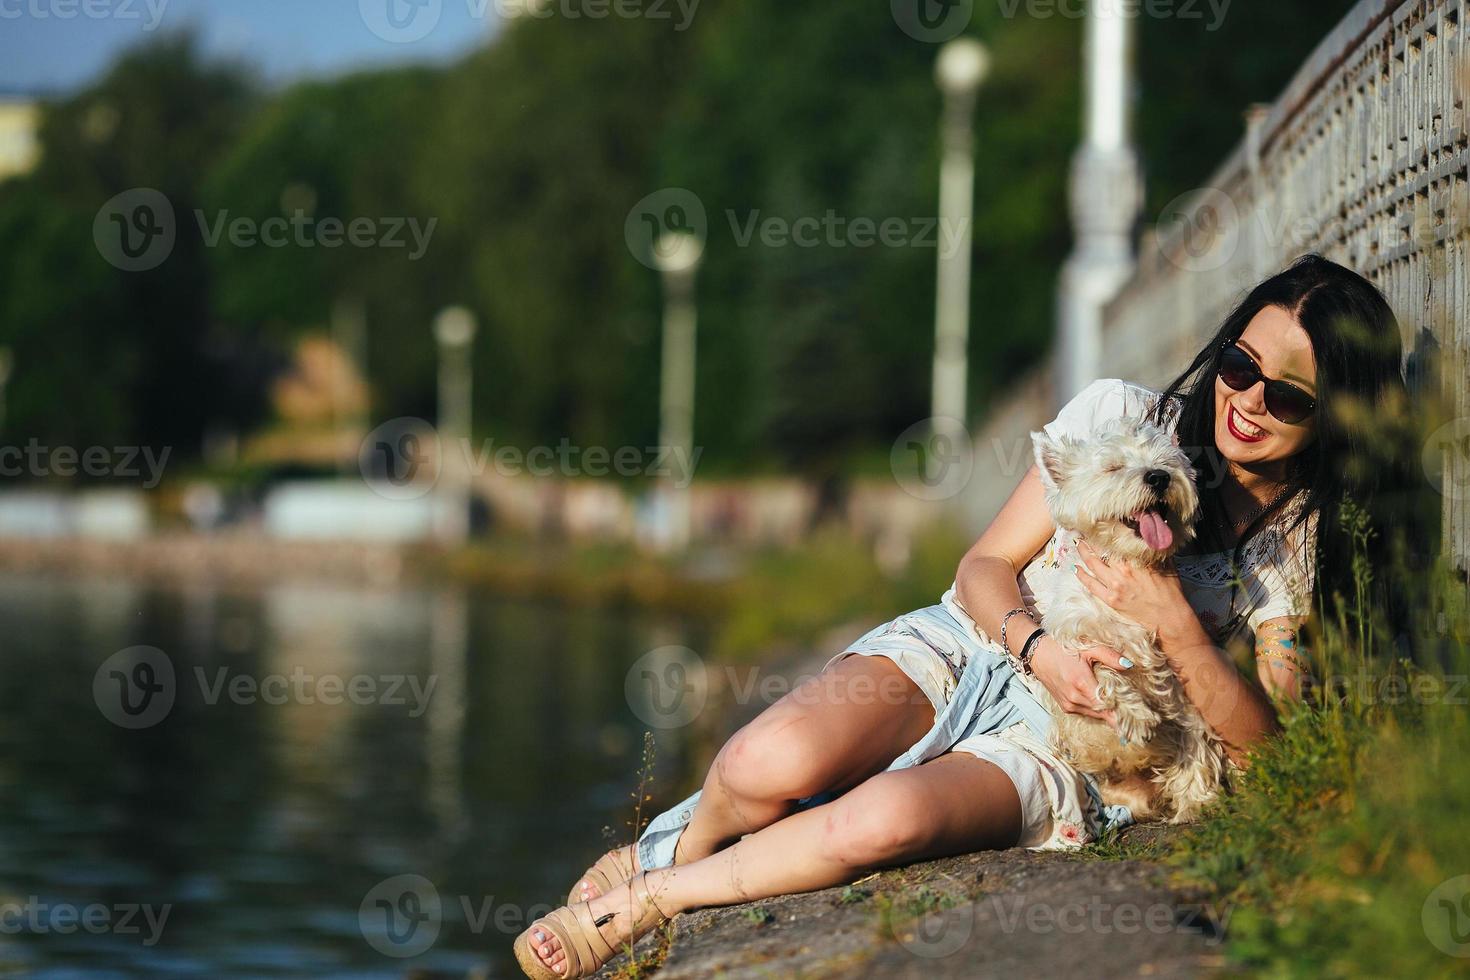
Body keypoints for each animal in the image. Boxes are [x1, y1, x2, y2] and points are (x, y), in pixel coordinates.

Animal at [1029, 417, 1223, 822]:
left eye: (1166, 462)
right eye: (1113, 467)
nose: (1159, 477)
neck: (1130, 561)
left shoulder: (1176, 671)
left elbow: (1192, 729)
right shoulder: (1075, 640)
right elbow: (1104, 671)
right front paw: (1136, 715)